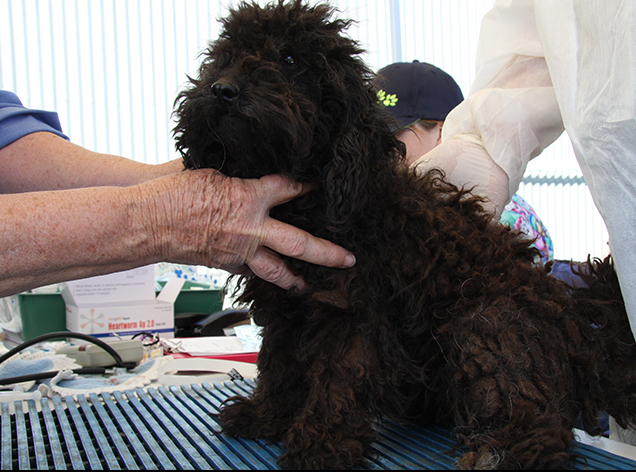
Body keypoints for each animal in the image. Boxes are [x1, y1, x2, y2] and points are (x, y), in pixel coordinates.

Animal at [171, 0, 636, 468]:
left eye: (289, 59)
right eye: (225, 57)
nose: (223, 90)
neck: (312, 204)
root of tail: (578, 335)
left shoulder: (352, 309)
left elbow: (337, 377)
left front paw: (323, 443)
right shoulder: (283, 301)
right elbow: (279, 363)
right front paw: (267, 416)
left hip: (489, 323)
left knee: (542, 425)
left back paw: (501, 452)